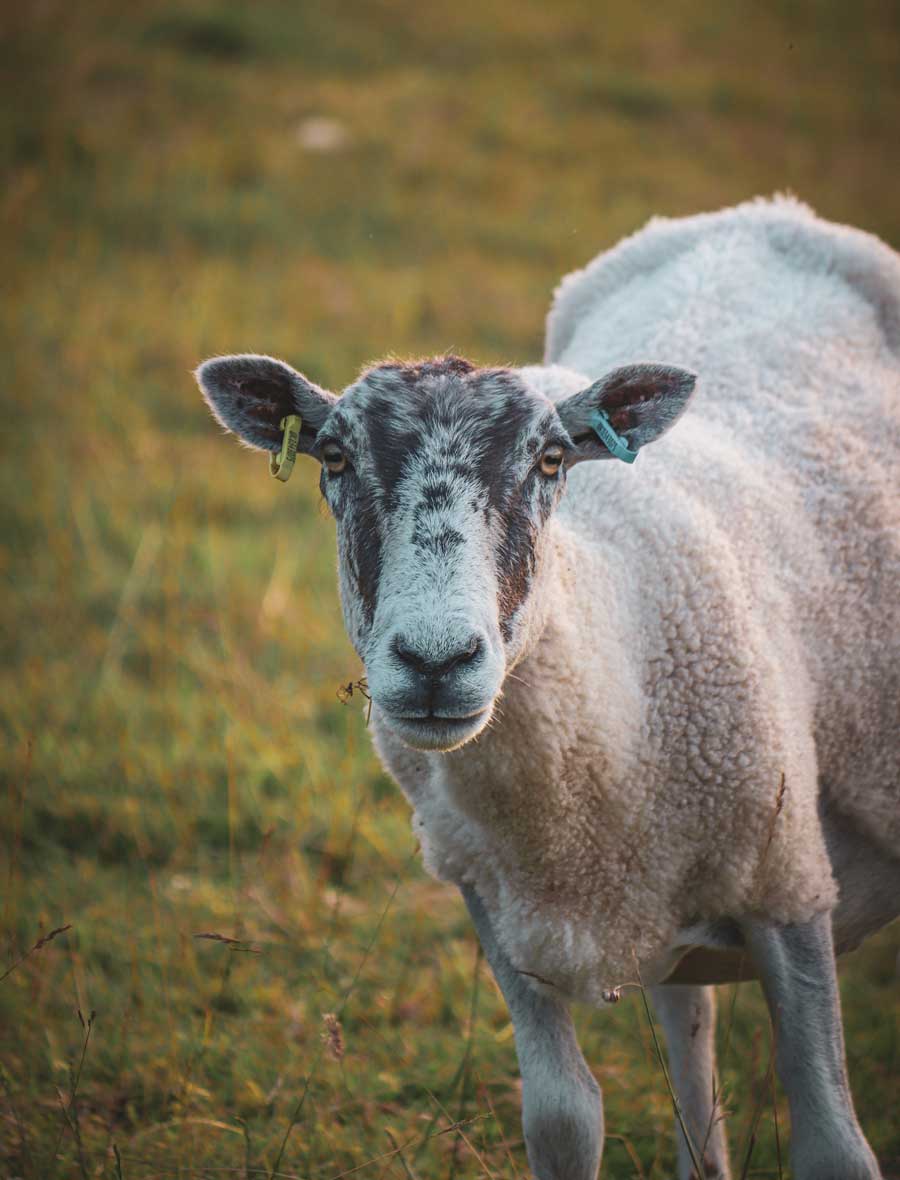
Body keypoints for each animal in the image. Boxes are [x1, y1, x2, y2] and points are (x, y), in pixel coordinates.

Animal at [195, 196, 900, 1180]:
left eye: (553, 461)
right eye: (333, 460)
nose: (437, 660)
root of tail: (765, 212)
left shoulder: (789, 881)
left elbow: (835, 1146)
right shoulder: (501, 906)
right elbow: (564, 1119)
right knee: (689, 1034)